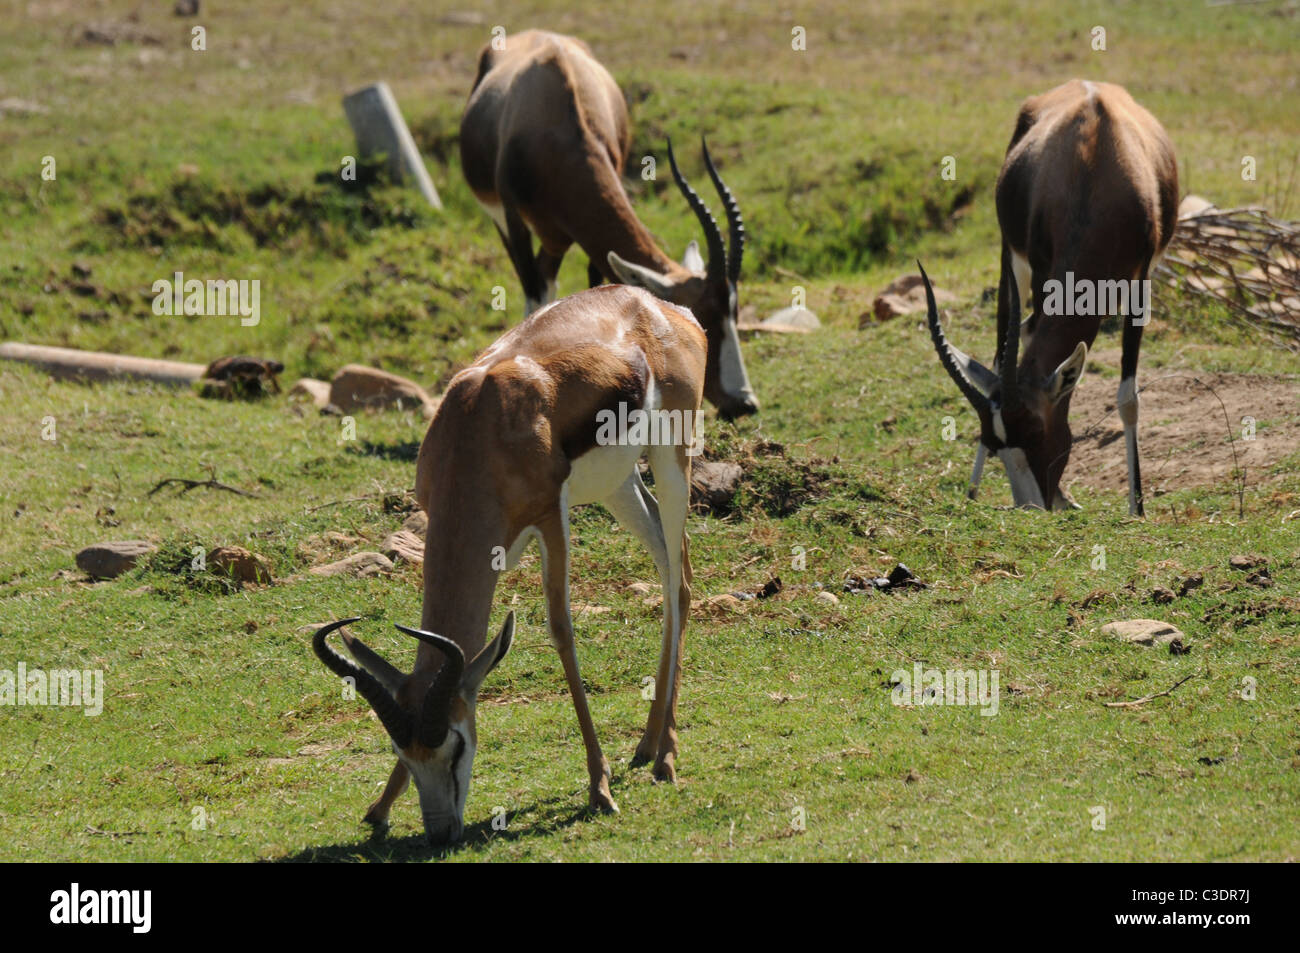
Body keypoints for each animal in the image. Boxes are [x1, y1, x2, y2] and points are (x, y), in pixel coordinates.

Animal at [310, 280, 707, 842]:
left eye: (455, 743)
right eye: (403, 752)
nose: (441, 833)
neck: (481, 424)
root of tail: (660, 306)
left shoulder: (550, 519)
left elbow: (561, 632)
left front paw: (599, 790)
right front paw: (380, 807)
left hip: (672, 457)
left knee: (677, 582)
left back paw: (666, 758)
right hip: (618, 484)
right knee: (675, 566)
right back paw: (647, 746)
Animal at [460, 27, 759, 416]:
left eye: (734, 312)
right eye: (701, 318)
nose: (744, 402)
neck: (552, 118)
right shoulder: (513, 220)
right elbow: (532, 292)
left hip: (555, 239)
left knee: (547, 276)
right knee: (535, 284)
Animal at [925, 80, 1180, 512]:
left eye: (1036, 432)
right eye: (995, 443)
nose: (1030, 507)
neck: (1095, 167)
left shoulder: (1140, 282)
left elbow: (1128, 397)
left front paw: (1137, 508)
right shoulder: (1043, 272)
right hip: (1011, 262)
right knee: (1003, 346)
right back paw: (974, 489)